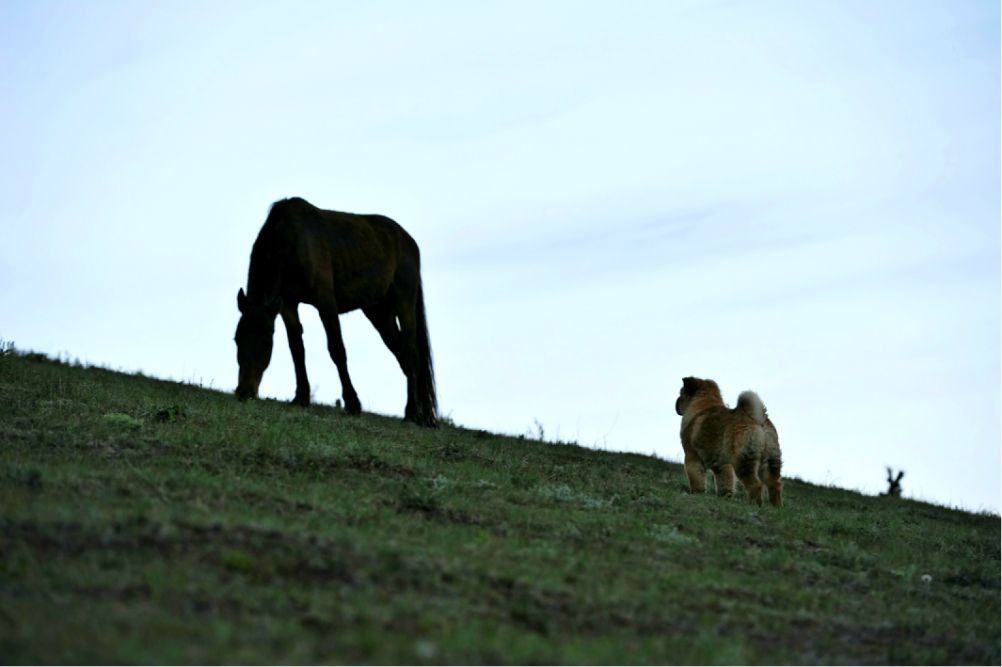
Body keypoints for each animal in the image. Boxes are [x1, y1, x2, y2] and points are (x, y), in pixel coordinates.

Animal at [236, 197, 440, 426]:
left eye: (266, 342)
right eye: (237, 339)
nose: (244, 392)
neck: (292, 239)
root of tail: (409, 241)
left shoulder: (326, 303)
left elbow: (337, 350)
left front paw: (353, 403)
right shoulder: (287, 304)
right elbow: (297, 349)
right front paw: (301, 397)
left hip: (404, 302)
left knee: (411, 354)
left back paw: (412, 413)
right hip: (380, 313)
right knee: (402, 354)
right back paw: (422, 415)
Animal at [673, 374, 781, 504]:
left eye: (681, 393)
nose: (676, 403)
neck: (702, 403)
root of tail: (756, 418)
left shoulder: (691, 455)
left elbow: (696, 477)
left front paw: (696, 492)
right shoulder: (723, 464)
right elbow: (724, 481)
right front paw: (725, 496)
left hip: (743, 459)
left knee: (755, 484)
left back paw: (754, 505)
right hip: (771, 458)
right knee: (774, 484)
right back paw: (776, 506)